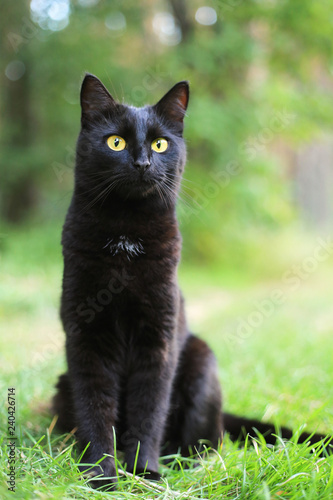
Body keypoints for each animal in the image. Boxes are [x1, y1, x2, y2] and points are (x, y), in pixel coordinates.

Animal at [52, 74, 330, 488]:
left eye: (160, 144)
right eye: (115, 142)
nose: (142, 162)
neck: (125, 237)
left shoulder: (159, 338)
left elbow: (149, 408)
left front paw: (145, 472)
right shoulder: (85, 335)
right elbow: (95, 409)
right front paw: (101, 475)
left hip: (201, 362)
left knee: (208, 443)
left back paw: (181, 463)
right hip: (62, 385)